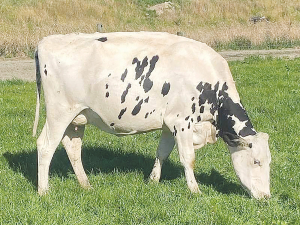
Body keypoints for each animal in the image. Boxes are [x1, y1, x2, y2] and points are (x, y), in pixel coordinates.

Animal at [33, 31, 272, 199]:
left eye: (269, 162)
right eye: (256, 161)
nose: (266, 197)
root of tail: (46, 41)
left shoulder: (169, 123)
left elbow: (162, 153)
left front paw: (153, 181)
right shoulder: (182, 121)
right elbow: (188, 158)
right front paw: (195, 190)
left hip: (78, 117)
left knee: (73, 148)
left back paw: (86, 185)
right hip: (59, 113)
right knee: (45, 146)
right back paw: (44, 191)